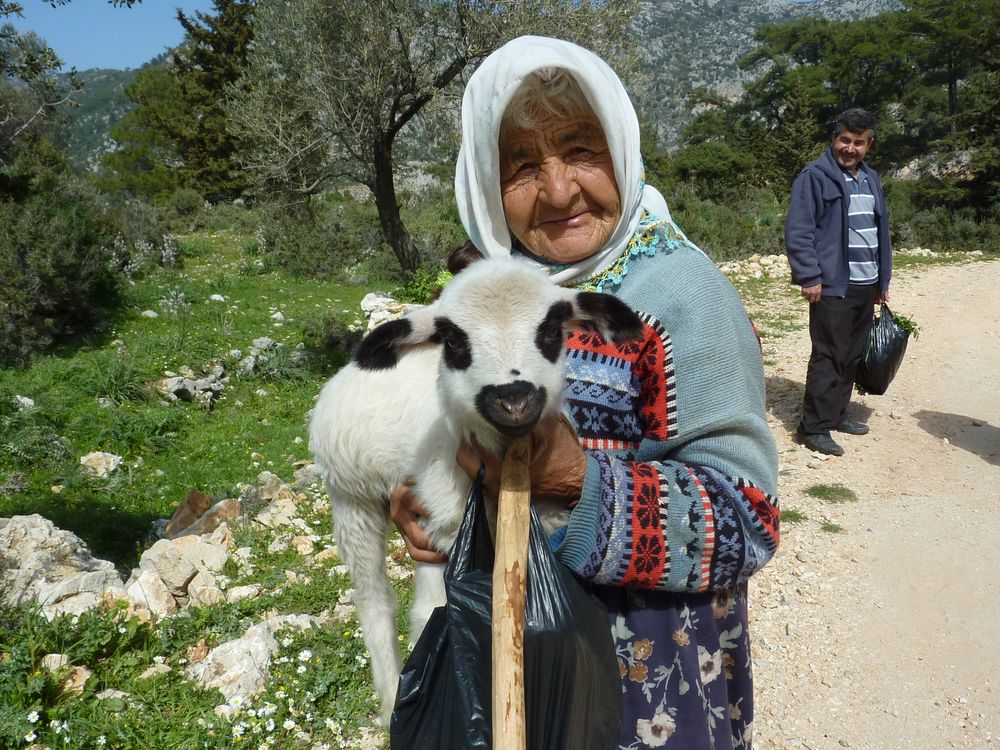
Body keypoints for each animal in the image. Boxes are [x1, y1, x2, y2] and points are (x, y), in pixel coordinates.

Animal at [308, 256, 644, 724]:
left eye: (551, 330)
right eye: (453, 340)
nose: (514, 399)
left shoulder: (545, 513)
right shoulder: (447, 518)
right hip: (351, 498)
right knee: (376, 601)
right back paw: (393, 693)